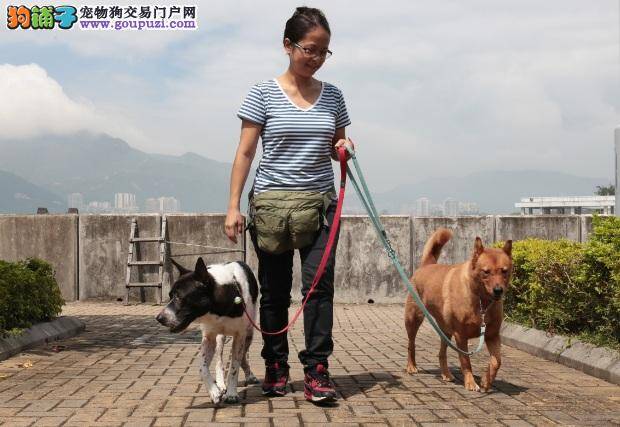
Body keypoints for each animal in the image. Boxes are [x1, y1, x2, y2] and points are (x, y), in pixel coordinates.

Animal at [157, 258, 262, 404]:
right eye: (170, 296)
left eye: (179, 297)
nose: (159, 318)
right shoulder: (209, 337)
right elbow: (202, 367)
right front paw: (214, 392)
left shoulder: (240, 335)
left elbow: (234, 367)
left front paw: (232, 393)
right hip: (220, 338)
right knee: (219, 360)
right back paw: (221, 384)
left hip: (249, 332)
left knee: (241, 356)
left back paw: (247, 375)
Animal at [404, 229, 512, 392]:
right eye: (486, 272)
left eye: (504, 271)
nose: (498, 290)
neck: (481, 302)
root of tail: (427, 265)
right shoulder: (461, 335)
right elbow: (466, 361)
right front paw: (470, 382)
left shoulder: (492, 335)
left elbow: (496, 361)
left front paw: (486, 381)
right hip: (413, 319)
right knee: (411, 344)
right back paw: (411, 366)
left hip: (446, 330)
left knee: (441, 354)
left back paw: (446, 374)